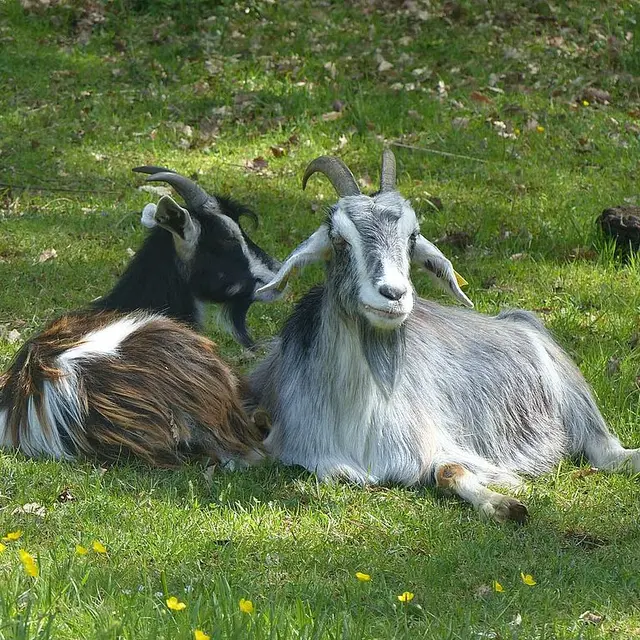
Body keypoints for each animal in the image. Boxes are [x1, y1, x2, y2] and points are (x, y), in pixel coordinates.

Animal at [250, 151, 640, 524]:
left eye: (411, 238)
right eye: (338, 238)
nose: (393, 294)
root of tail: (519, 321)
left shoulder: (432, 442)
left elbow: (449, 469)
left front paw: (505, 499)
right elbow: (344, 474)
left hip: (578, 405)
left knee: (608, 453)